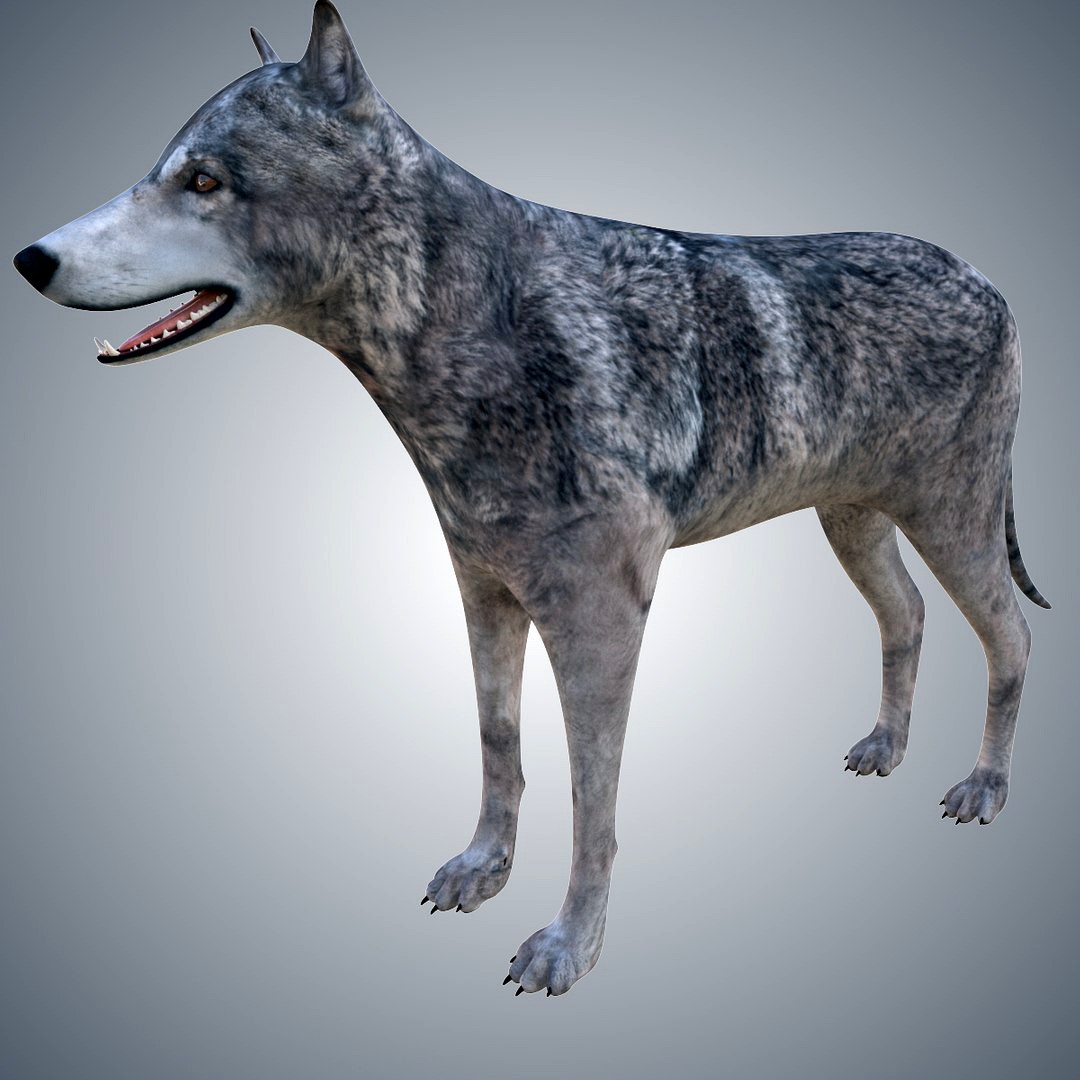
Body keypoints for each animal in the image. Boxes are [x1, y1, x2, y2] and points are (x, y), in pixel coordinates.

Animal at [13, 1, 1050, 996]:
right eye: (165, 170)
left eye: (204, 182)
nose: (28, 259)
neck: (482, 321)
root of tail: (988, 280)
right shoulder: (483, 589)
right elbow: (497, 740)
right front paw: (484, 868)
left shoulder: (600, 620)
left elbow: (595, 801)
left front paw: (569, 946)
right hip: (854, 520)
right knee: (907, 614)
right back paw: (887, 746)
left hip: (952, 522)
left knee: (1012, 637)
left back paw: (985, 787)